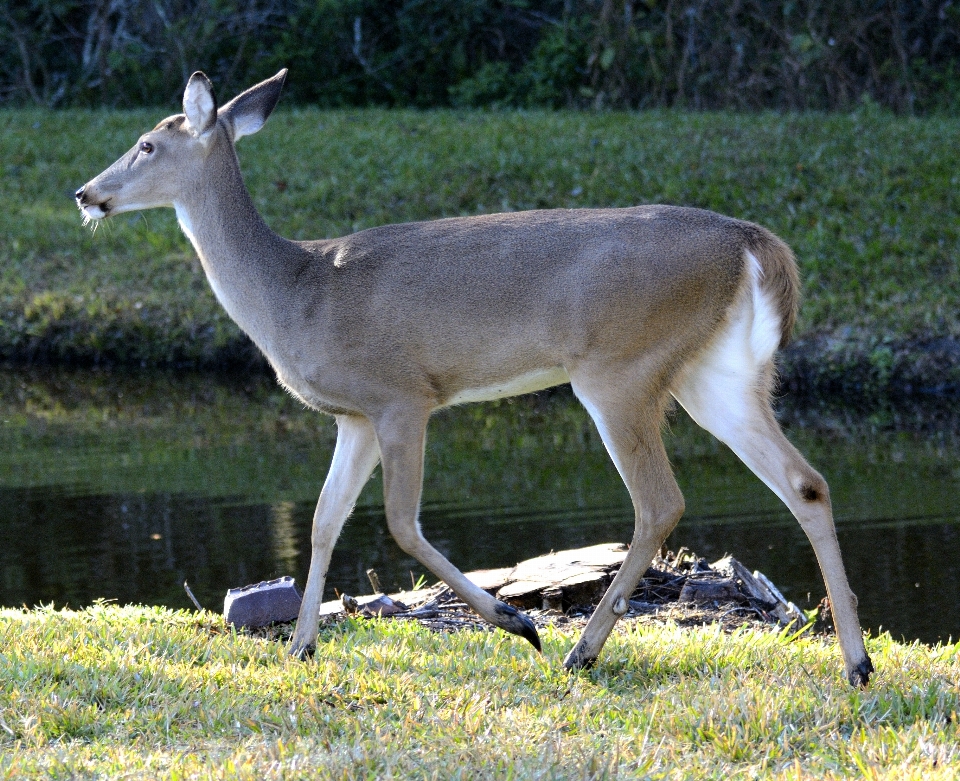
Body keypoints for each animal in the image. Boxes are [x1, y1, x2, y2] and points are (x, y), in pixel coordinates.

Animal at [73, 70, 872, 684]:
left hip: (620, 366)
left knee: (660, 501)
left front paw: (517, 620)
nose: (84, 193)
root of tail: (752, 241)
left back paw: (581, 650)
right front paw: (301, 646)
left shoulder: (402, 396)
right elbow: (324, 518)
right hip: (718, 374)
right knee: (805, 481)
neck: (296, 293)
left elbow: (400, 522)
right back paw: (857, 664)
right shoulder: (354, 415)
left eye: (146, 144)